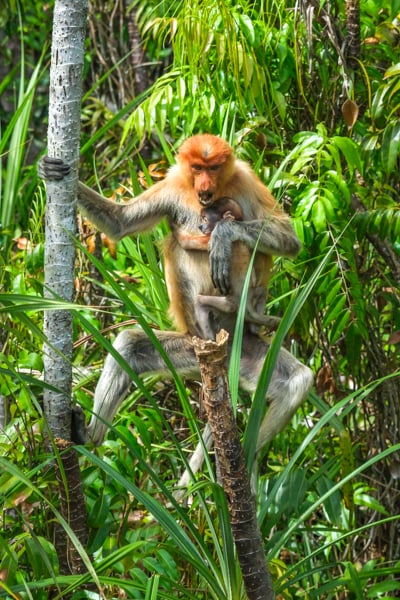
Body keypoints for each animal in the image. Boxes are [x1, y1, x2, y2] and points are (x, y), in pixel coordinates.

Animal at [195, 196, 280, 338]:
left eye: (205, 219)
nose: (200, 226)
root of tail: (245, 305)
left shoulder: (211, 237)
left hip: (229, 303)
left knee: (199, 302)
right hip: (251, 295)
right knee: (262, 290)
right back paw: (255, 329)